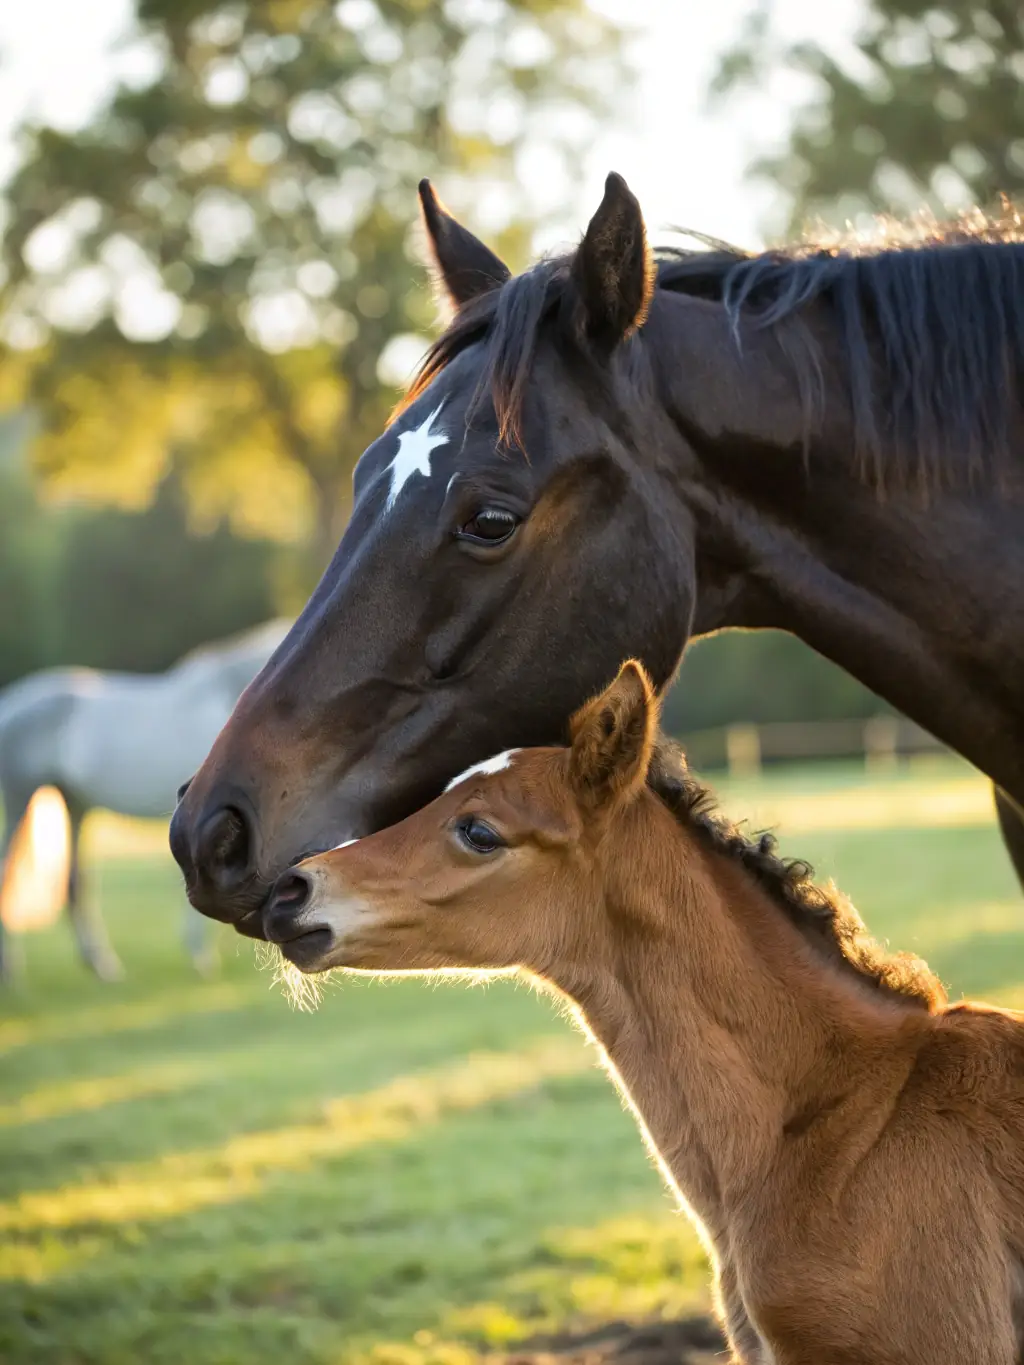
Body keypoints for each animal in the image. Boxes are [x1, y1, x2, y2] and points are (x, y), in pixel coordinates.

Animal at [0, 618, 291, 980]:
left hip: (75, 805)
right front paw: (202, 955)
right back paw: (12, 968)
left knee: (75, 883)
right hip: (20, 796)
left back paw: (101, 964)